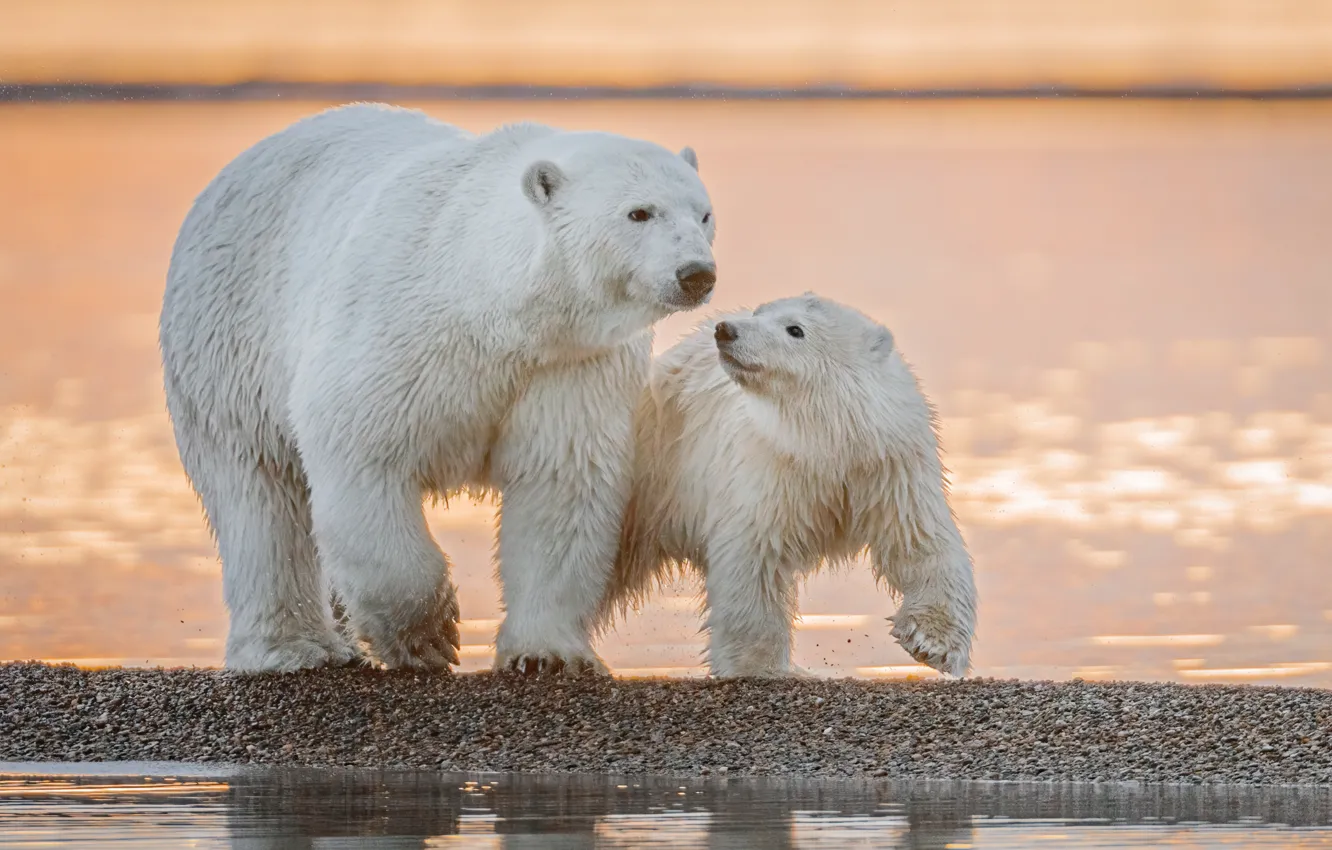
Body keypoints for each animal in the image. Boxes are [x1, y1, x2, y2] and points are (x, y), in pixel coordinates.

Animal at [161, 105, 719, 671]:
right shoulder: (395, 333)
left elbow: (560, 483)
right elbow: (363, 454)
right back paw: (294, 648)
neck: (491, 303)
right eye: (639, 213)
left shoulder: (568, 364)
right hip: (230, 341)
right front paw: (428, 636)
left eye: (703, 214)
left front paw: (546, 654)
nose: (696, 274)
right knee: (258, 493)